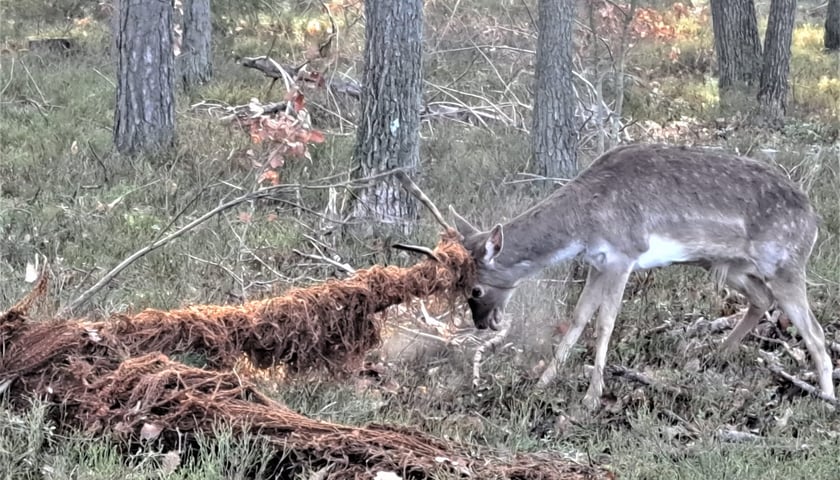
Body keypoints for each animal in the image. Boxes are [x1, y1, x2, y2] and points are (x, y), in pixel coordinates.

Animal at [456, 142, 836, 408]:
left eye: (475, 290)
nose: (482, 322)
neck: (583, 224)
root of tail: (815, 220)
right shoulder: (598, 263)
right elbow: (579, 316)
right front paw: (544, 380)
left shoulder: (623, 254)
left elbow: (605, 322)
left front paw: (592, 396)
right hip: (725, 265)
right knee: (762, 299)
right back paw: (713, 354)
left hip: (785, 263)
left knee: (815, 333)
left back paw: (827, 398)